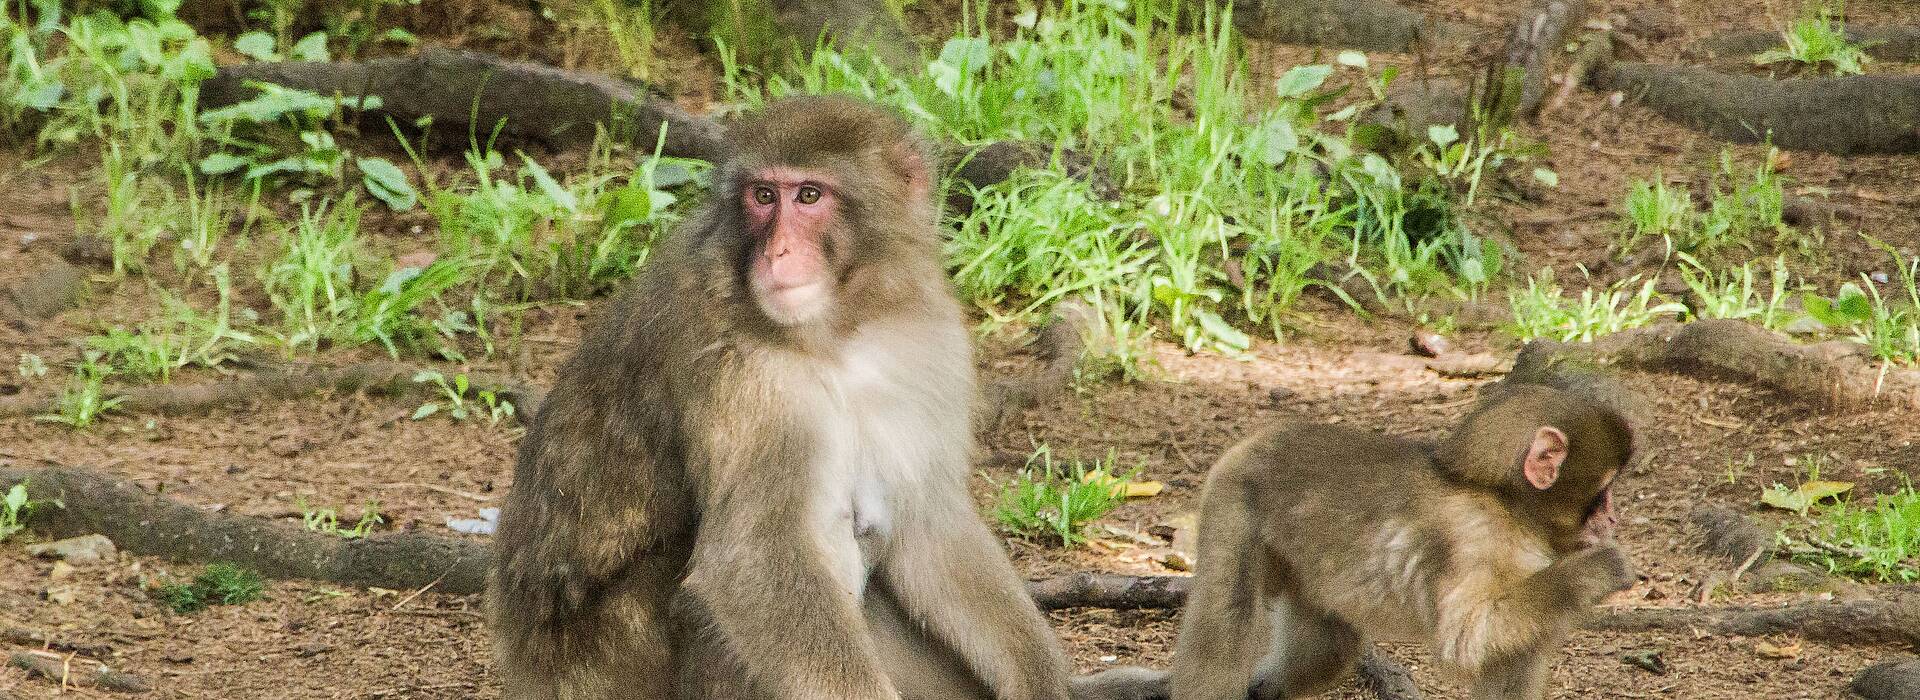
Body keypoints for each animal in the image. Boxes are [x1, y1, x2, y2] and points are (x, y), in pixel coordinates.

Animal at [487, 93, 1075, 698]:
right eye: (763, 196)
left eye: (809, 195)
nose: (777, 252)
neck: (837, 332)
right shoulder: (740, 375)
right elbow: (751, 560)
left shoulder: (924, 339)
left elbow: (927, 528)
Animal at [1167, 383, 1635, 694]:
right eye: (1604, 492)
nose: (1613, 518)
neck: (1506, 505)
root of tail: (1258, 439)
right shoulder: (1475, 538)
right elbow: (1466, 638)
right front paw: (1600, 569)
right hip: (1234, 501)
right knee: (1224, 629)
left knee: (1326, 649)